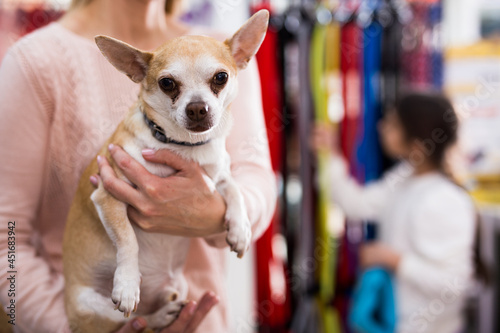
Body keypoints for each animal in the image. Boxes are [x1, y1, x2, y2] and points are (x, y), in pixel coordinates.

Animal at [63, 11, 270, 332]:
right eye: (167, 83)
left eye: (221, 77)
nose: (197, 108)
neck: (184, 146)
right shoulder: (107, 195)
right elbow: (128, 240)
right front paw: (126, 284)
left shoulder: (218, 176)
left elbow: (234, 190)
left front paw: (241, 229)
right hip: (92, 306)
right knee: (132, 320)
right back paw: (155, 312)